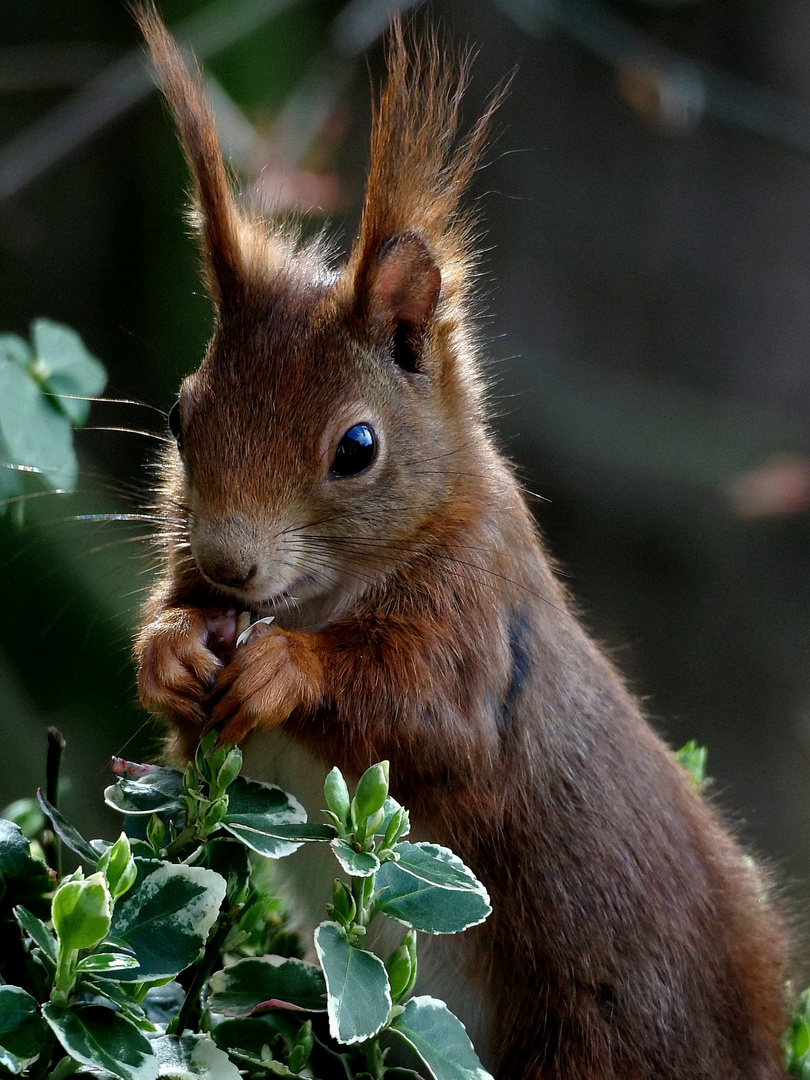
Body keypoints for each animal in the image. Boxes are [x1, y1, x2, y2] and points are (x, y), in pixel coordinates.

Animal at [135, 4, 794, 1075]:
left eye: (358, 447)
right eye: (180, 415)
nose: (232, 565)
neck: (323, 595)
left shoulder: (479, 608)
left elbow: (433, 710)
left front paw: (288, 670)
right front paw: (171, 651)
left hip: (594, 1033)